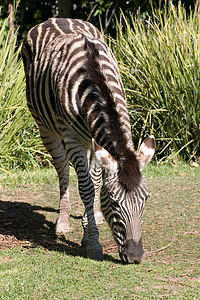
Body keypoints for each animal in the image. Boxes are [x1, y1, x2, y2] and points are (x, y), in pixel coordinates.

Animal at [22, 17, 156, 264]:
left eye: (146, 199)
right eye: (113, 202)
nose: (135, 256)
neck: (96, 80)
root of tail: (56, 18)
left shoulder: (97, 139)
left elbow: (94, 183)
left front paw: (90, 225)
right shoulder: (73, 138)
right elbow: (85, 187)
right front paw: (93, 242)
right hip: (46, 128)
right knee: (63, 170)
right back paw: (63, 221)